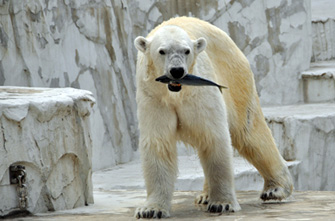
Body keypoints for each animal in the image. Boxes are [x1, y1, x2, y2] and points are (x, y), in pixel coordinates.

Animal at [134, 16, 294, 218]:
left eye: (186, 51)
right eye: (162, 51)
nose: (177, 70)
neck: (176, 94)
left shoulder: (201, 92)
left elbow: (213, 137)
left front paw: (222, 204)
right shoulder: (154, 98)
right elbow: (158, 143)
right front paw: (151, 209)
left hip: (235, 78)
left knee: (250, 134)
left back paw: (275, 189)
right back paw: (205, 195)